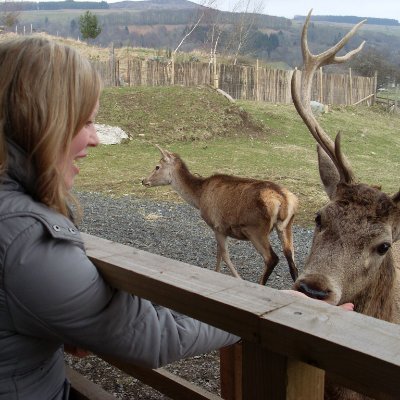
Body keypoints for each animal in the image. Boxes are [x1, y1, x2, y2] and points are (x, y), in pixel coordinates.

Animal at [142, 145, 298, 286]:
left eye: (157, 166)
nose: (143, 180)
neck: (199, 197)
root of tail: (284, 200)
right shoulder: (220, 229)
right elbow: (219, 253)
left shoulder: (217, 226)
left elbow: (223, 255)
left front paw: (237, 278)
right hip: (286, 226)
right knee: (292, 262)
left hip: (255, 230)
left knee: (272, 258)